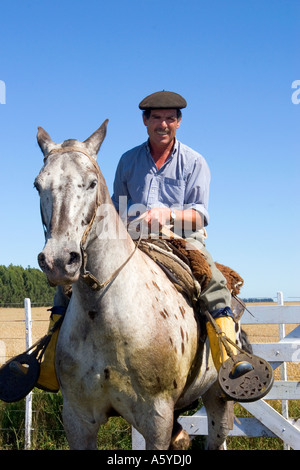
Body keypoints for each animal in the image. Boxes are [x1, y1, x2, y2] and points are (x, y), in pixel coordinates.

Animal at [35, 122, 236, 452]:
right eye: (38, 185)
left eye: (91, 183)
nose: (59, 260)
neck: (102, 312)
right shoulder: (77, 419)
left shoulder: (156, 419)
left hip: (218, 399)